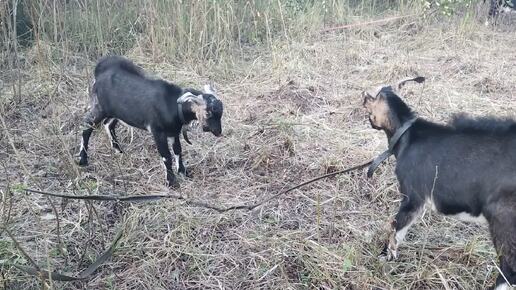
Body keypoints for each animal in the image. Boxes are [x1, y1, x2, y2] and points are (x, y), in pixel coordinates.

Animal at [77, 55, 223, 187]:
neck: (173, 105)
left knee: (108, 124)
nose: (218, 132)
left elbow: (178, 151)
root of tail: (100, 70)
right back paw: (82, 160)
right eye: (208, 112)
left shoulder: (173, 132)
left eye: (221, 112)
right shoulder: (157, 131)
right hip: (100, 108)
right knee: (87, 127)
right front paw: (171, 182)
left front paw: (183, 172)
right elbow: (166, 156)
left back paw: (118, 150)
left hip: (116, 112)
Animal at [362, 80, 516, 290]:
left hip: (503, 218)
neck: (407, 135)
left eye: (369, 100)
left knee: (508, 269)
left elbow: (397, 228)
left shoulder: (412, 197)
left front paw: (385, 257)